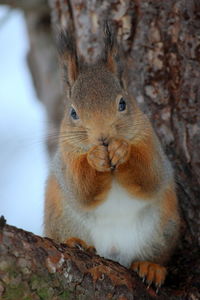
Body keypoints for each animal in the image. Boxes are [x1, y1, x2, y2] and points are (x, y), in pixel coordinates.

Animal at [44, 26, 180, 290]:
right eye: (73, 112)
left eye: (123, 103)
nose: (103, 138)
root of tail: (115, 254)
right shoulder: (65, 160)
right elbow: (81, 189)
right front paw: (95, 157)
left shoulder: (151, 145)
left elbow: (150, 176)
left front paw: (121, 149)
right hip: (61, 221)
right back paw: (77, 243)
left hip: (162, 230)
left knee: (152, 256)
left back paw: (150, 266)